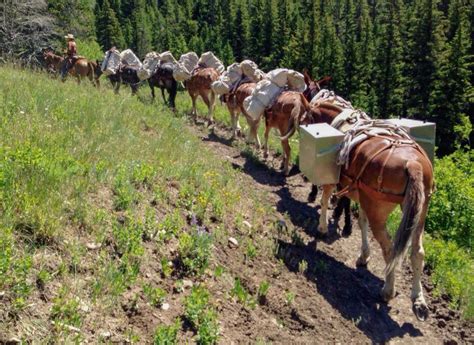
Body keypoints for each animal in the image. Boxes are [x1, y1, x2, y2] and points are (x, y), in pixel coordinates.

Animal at [284, 92, 436, 318]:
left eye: (305, 119)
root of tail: (413, 165)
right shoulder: (362, 195)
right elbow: (361, 221)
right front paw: (363, 255)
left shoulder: (338, 182)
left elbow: (325, 199)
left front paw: (322, 227)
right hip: (420, 210)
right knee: (417, 252)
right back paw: (418, 301)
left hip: (379, 210)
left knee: (390, 250)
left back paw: (387, 290)